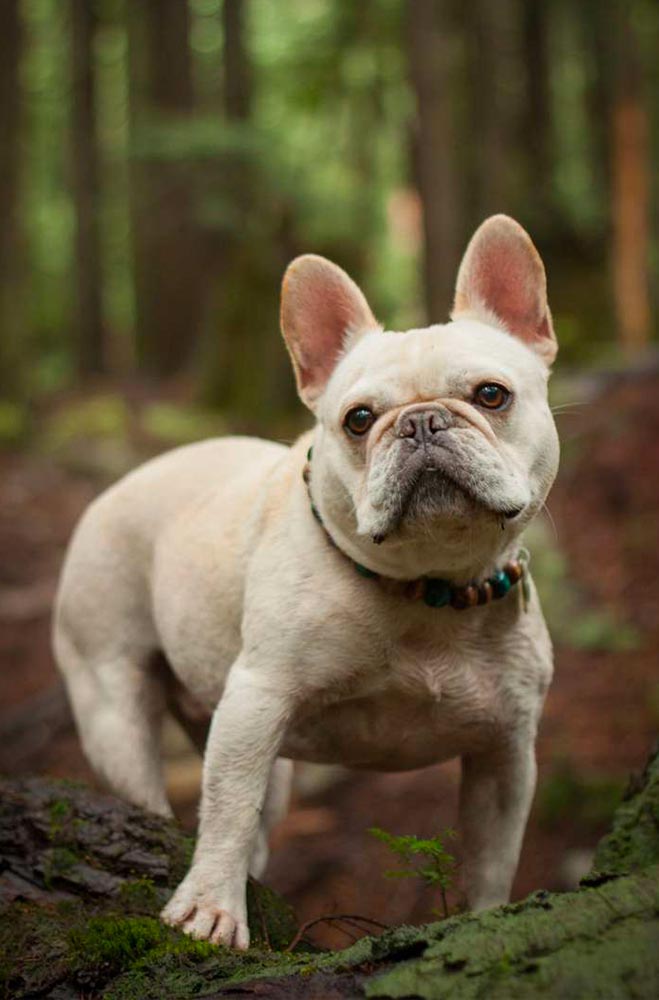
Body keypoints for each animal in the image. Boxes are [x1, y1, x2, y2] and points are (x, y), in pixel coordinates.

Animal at [54, 215, 564, 948]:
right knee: (154, 793)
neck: (428, 586)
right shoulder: (256, 701)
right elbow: (228, 808)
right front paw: (209, 909)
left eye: (490, 395)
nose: (420, 421)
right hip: (111, 704)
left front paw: (487, 920)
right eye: (359, 419)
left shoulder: (505, 752)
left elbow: (493, 854)